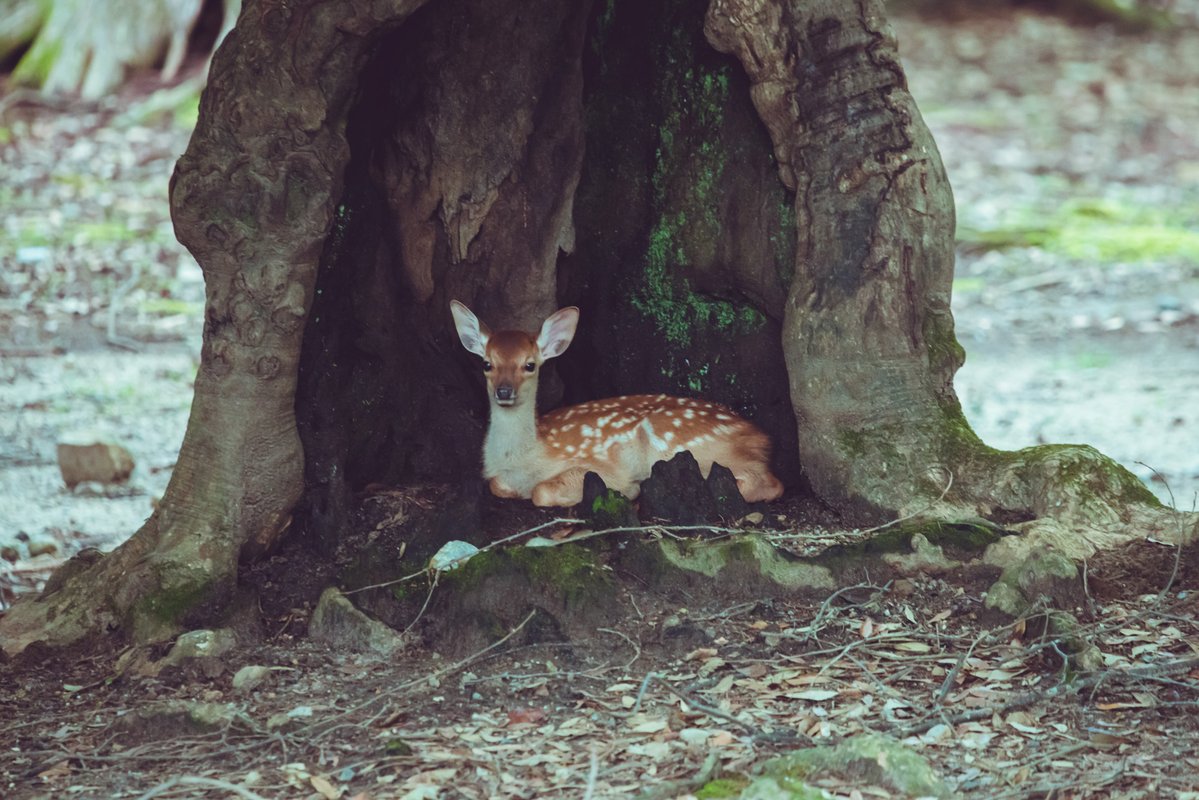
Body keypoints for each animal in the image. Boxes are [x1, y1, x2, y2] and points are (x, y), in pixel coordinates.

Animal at [450, 299, 786, 506]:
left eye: (529, 365)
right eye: (487, 364)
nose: (504, 391)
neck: (526, 459)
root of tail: (762, 437)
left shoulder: (598, 465)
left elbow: (541, 492)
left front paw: (629, 488)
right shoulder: (500, 479)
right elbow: (497, 485)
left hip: (686, 445)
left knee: (770, 482)